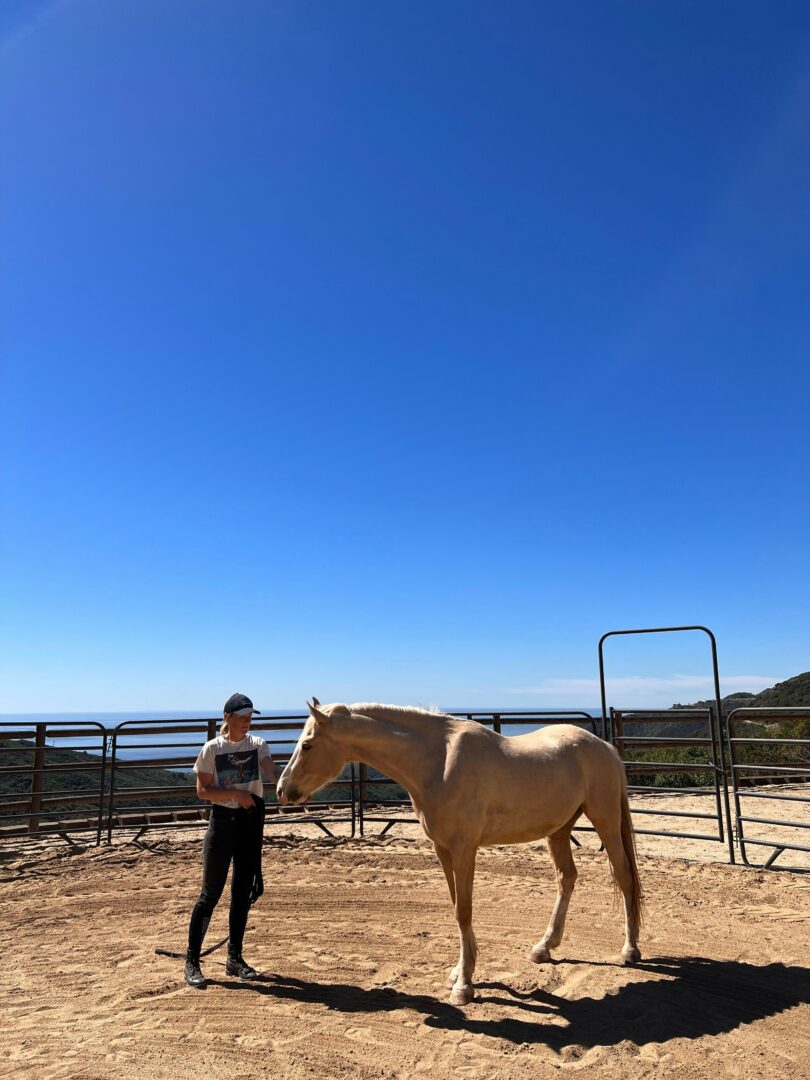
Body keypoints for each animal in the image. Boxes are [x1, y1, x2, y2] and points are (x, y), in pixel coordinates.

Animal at [277, 700, 643, 1006]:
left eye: (307, 745)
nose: (282, 791)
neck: (437, 763)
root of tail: (606, 748)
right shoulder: (442, 849)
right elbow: (456, 907)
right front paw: (459, 972)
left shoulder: (464, 848)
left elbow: (464, 911)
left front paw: (464, 986)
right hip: (559, 830)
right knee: (567, 878)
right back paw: (544, 947)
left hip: (605, 820)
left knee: (624, 876)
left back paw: (629, 950)